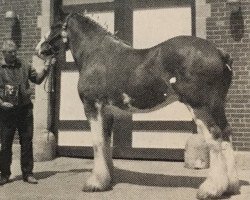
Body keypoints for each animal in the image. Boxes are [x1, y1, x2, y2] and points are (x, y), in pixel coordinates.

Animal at [35, 11, 240, 200]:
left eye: (54, 26)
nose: (39, 49)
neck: (95, 54)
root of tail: (220, 53)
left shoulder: (92, 106)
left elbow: (97, 142)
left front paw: (95, 183)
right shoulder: (107, 112)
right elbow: (106, 142)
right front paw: (107, 179)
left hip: (199, 106)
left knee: (214, 136)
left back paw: (211, 189)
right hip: (217, 106)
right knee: (226, 134)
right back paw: (230, 186)